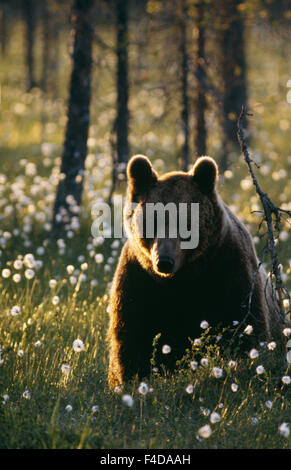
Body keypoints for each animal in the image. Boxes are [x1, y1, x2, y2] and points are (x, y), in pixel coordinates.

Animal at [107, 156, 282, 388]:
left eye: (185, 223)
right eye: (152, 221)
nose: (164, 262)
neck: (183, 278)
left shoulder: (229, 269)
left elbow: (245, 326)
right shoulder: (139, 279)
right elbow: (132, 338)